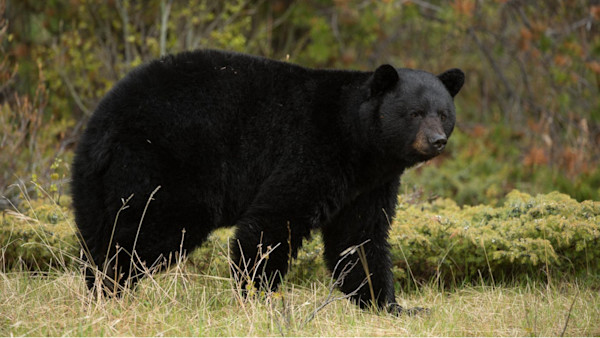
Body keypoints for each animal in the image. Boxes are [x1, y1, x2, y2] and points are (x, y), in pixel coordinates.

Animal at [71, 50, 464, 314]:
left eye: (444, 113)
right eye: (415, 113)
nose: (437, 141)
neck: (359, 141)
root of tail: (103, 124)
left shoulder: (368, 185)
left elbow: (359, 239)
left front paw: (391, 305)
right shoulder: (313, 148)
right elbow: (274, 221)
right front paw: (260, 297)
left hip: (97, 180)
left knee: (99, 229)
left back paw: (98, 287)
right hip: (164, 162)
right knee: (146, 230)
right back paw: (113, 287)